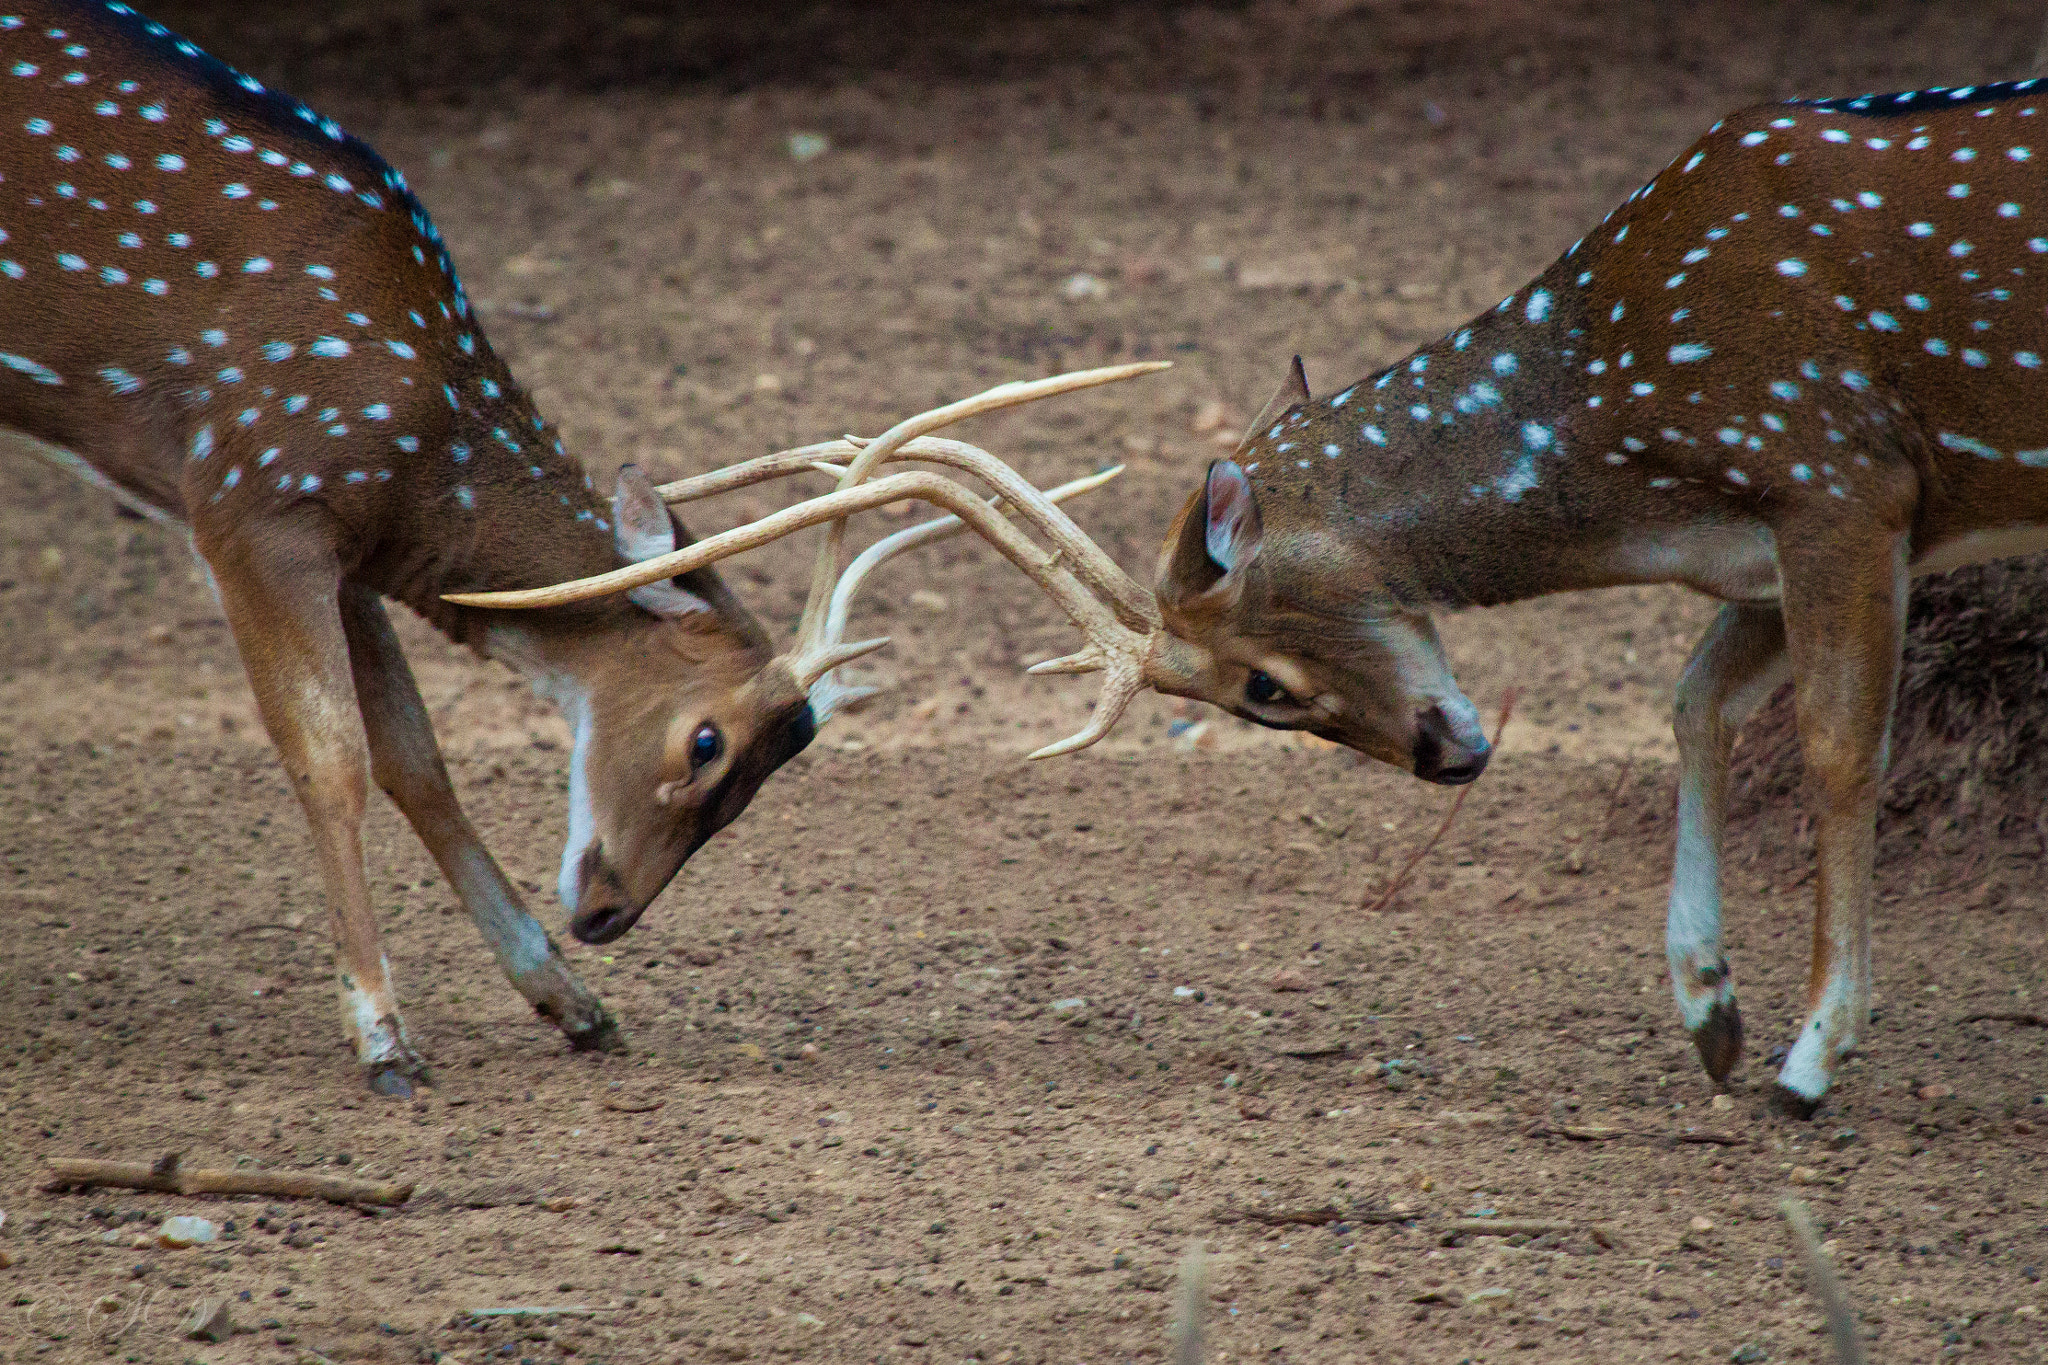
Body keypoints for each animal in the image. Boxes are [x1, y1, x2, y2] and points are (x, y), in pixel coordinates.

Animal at [0, 0, 1146, 1088]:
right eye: (706, 741)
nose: (607, 917)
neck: (415, 437)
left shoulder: (353, 549)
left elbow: (417, 758)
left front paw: (570, 1005)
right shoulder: (250, 495)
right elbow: (330, 757)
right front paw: (384, 1039)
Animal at [483, 80, 2048, 1113]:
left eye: (1264, 686)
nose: (1448, 754)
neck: (1639, 434)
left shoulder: (1843, 477)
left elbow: (1842, 750)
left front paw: (1808, 1055)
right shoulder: (1781, 544)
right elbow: (1691, 704)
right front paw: (1710, 1015)